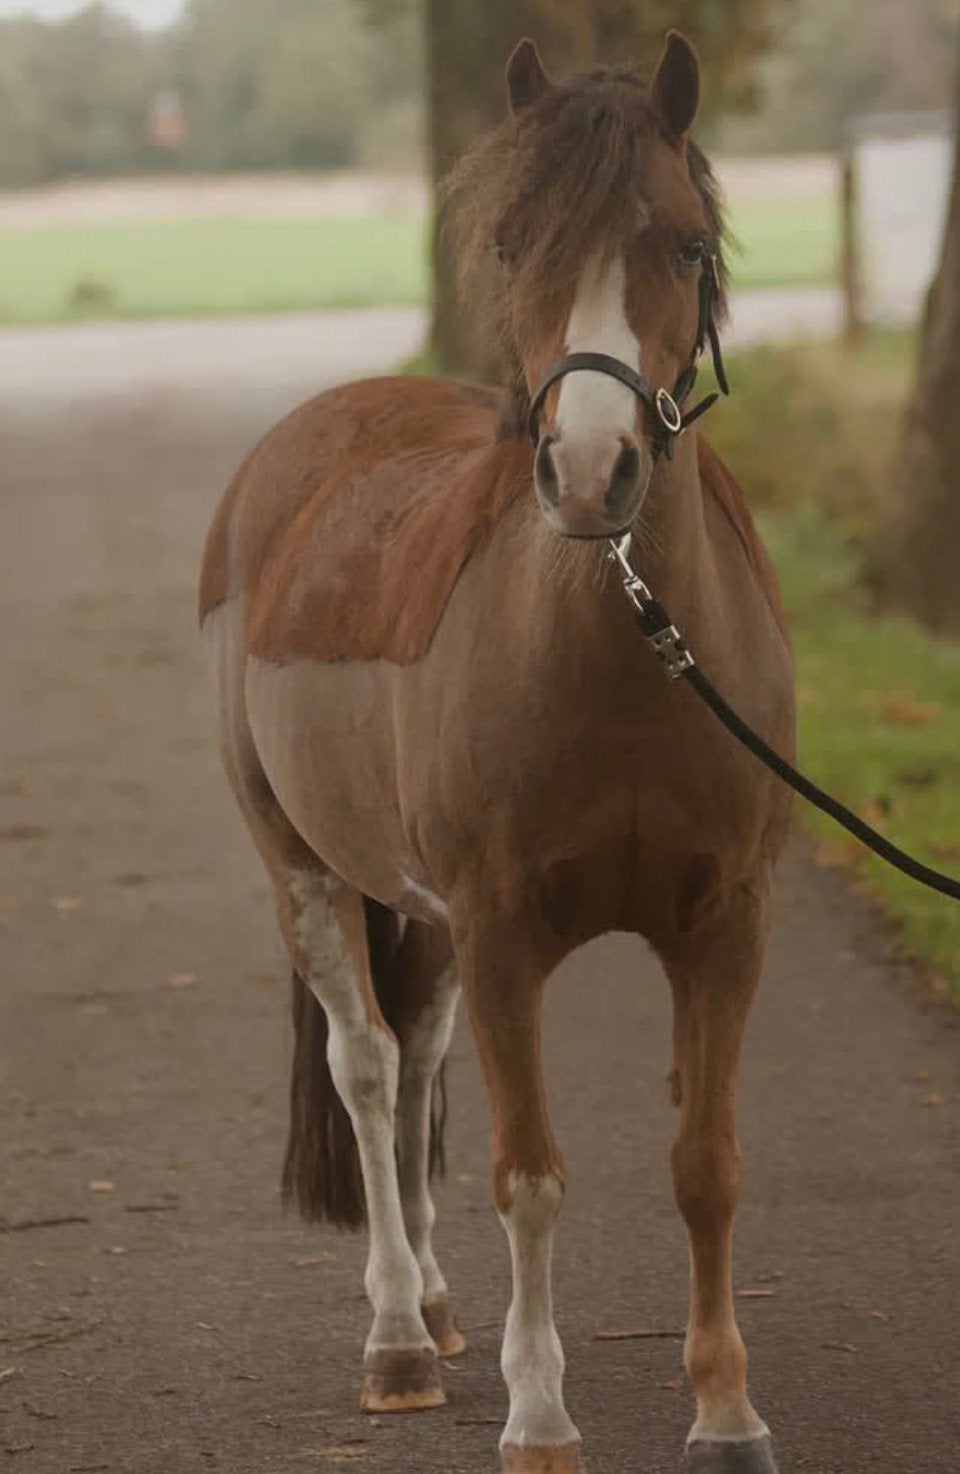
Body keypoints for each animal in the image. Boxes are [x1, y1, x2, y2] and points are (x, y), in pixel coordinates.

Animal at [199, 31, 795, 1474]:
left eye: (688, 245)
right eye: (520, 241)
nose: (589, 474)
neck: (619, 647)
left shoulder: (726, 921)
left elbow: (707, 1164)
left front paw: (726, 1413)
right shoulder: (508, 928)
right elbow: (531, 1173)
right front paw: (540, 1413)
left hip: (425, 916)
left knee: (415, 1060)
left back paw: (435, 1302)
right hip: (308, 871)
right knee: (368, 1072)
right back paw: (398, 1336)